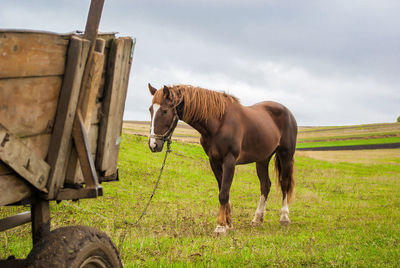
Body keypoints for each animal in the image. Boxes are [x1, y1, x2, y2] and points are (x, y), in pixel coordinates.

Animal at [147, 84, 296, 234]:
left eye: (164, 111)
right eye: (150, 110)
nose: (153, 145)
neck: (219, 123)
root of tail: (288, 112)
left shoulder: (229, 160)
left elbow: (224, 193)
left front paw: (220, 226)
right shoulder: (214, 161)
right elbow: (223, 191)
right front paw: (228, 223)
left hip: (286, 155)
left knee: (284, 184)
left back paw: (284, 218)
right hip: (262, 159)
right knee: (265, 185)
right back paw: (257, 219)